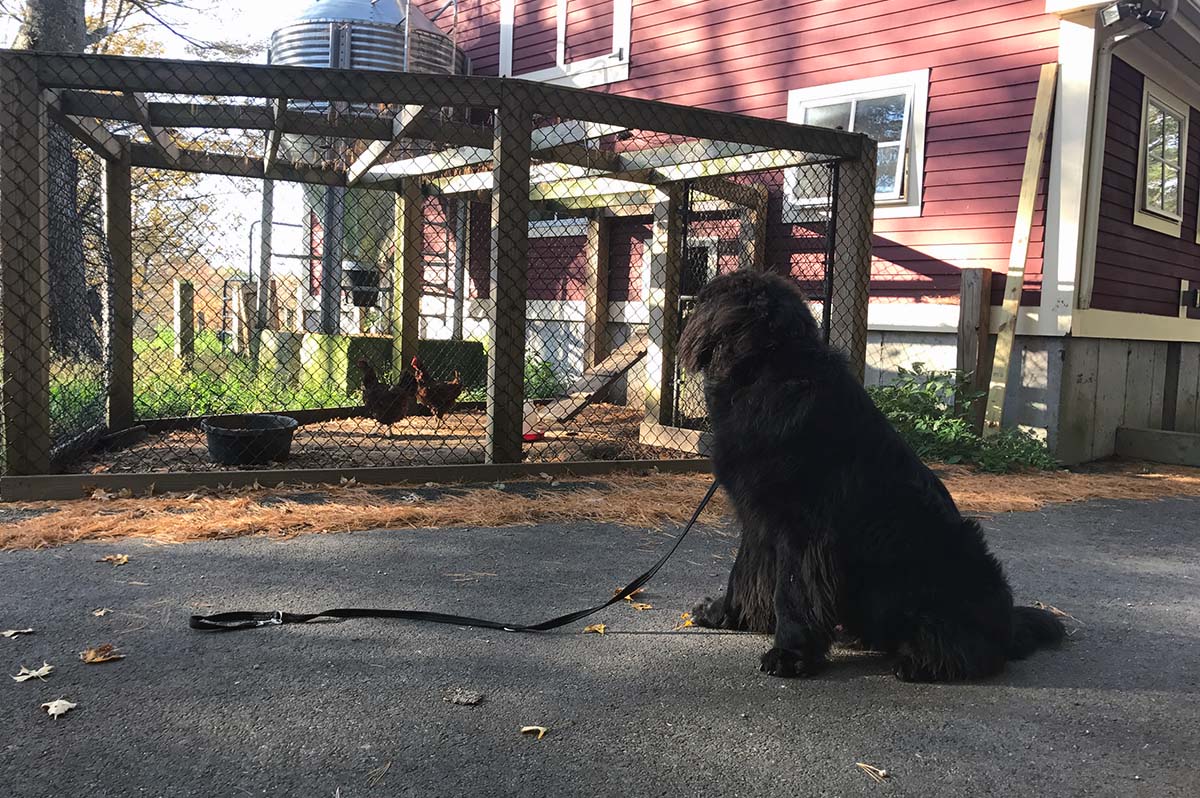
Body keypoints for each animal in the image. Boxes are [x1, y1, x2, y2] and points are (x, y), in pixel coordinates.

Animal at [681, 271, 1065, 681]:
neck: (767, 375)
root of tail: (1009, 625)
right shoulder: (758, 522)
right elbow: (744, 574)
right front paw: (724, 614)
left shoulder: (803, 531)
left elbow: (793, 594)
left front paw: (790, 654)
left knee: (977, 651)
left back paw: (921, 661)